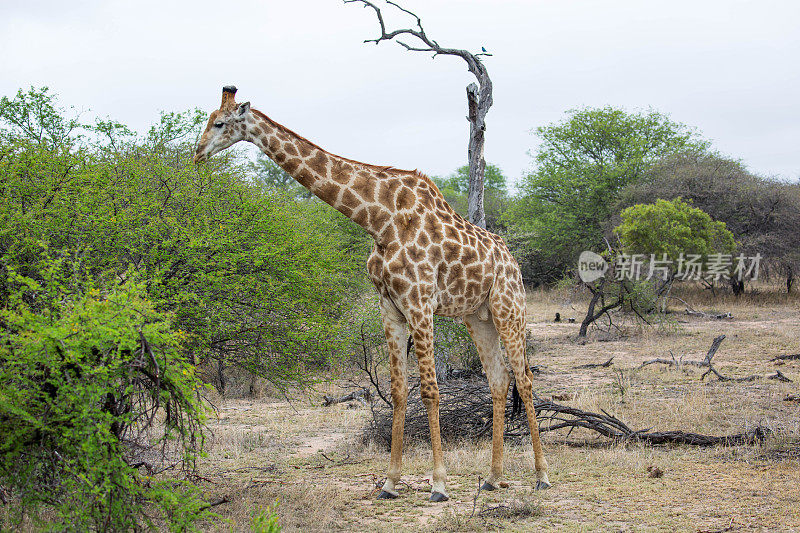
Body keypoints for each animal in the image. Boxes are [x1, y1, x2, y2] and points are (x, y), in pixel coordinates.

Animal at [194, 85, 552, 500]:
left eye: (220, 123)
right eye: (208, 119)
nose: (197, 153)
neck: (378, 220)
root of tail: (512, 261)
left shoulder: (419, 303)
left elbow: (430, 389)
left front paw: (439, 483)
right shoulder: (390, 307)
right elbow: (397, 390)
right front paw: (390, 482)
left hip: (509, 308)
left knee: (524, 379)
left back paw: (542, 476)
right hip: (477, 317)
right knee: (498, 378)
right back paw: (493, 477)